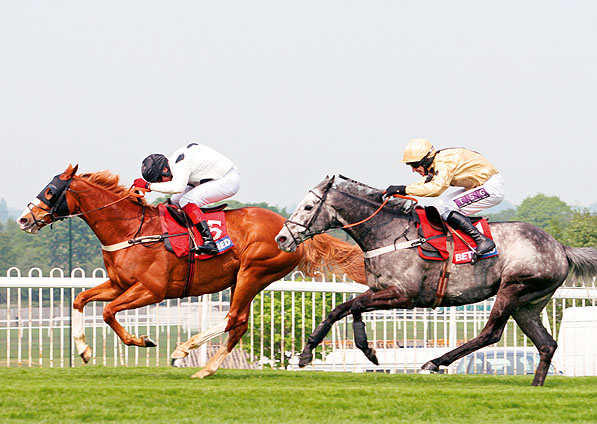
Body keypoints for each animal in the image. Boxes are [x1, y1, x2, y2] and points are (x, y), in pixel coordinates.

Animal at [17, 165, 364, 378]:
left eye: (50, 191)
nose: (23, 219)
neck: (131, 229)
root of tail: (291, 229)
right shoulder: (119, 283)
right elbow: (81, 299)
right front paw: (84, 349)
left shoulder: (151, 290)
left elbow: (108, 312)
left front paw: (142, 341)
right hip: (246, 279)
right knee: (238, 325)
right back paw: (205, 368)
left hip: (253, 273)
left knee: (233, 318)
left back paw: (185, 348)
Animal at [274, 174, 596, 386]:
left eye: (307, 207)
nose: (282, 238)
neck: (388, 233)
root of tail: (560, 248)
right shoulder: (380, 289)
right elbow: (344, 309)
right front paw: (312, 353)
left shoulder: (404, 295)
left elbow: (351, 307)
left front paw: (363, 350)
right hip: (528, 304)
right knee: (546, 344)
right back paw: (535, 387)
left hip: (513, 288)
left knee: (490, 333)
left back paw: (435, 361)